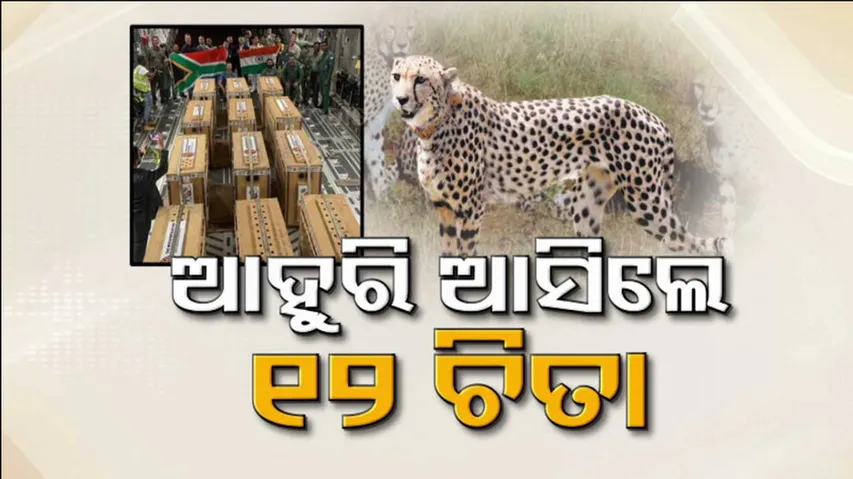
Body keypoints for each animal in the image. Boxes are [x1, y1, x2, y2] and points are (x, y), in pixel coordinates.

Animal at [389, 55, 729, 258]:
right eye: (396, 76)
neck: (434, 124)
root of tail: (652, 115)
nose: (401, 99)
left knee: (690, 245)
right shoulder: (445, 208)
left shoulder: (471, 208)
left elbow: (465, 257)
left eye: (420, 79)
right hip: (587, 207)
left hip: (647, 202)